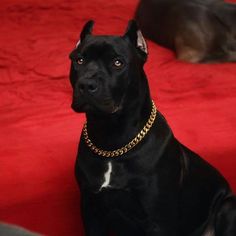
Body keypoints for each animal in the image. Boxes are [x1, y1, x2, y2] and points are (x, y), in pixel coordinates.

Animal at [68, 20, 236, 236]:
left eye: (118, 62)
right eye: (79, 60)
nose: (87, 84)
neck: (113, 142)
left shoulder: (158, 219)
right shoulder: (91, 210)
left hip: (228, 206)